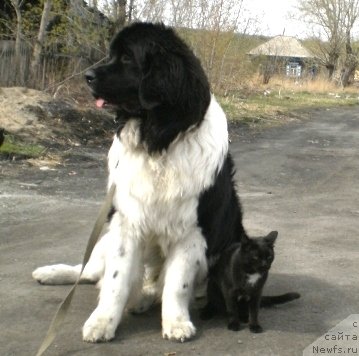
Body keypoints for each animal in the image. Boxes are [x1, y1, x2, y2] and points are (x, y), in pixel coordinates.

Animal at [32, 21, 249, 342]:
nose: (87, 76)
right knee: (88, 271)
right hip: (106, 237)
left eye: (126, 58)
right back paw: (50, 273)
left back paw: (145, 298)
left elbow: (177, 284)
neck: (158, 141)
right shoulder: (126, 221)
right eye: (111, 54)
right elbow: (116, 281)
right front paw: (103, 322)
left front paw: (176, 323)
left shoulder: (192, 231)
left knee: (154, 284)